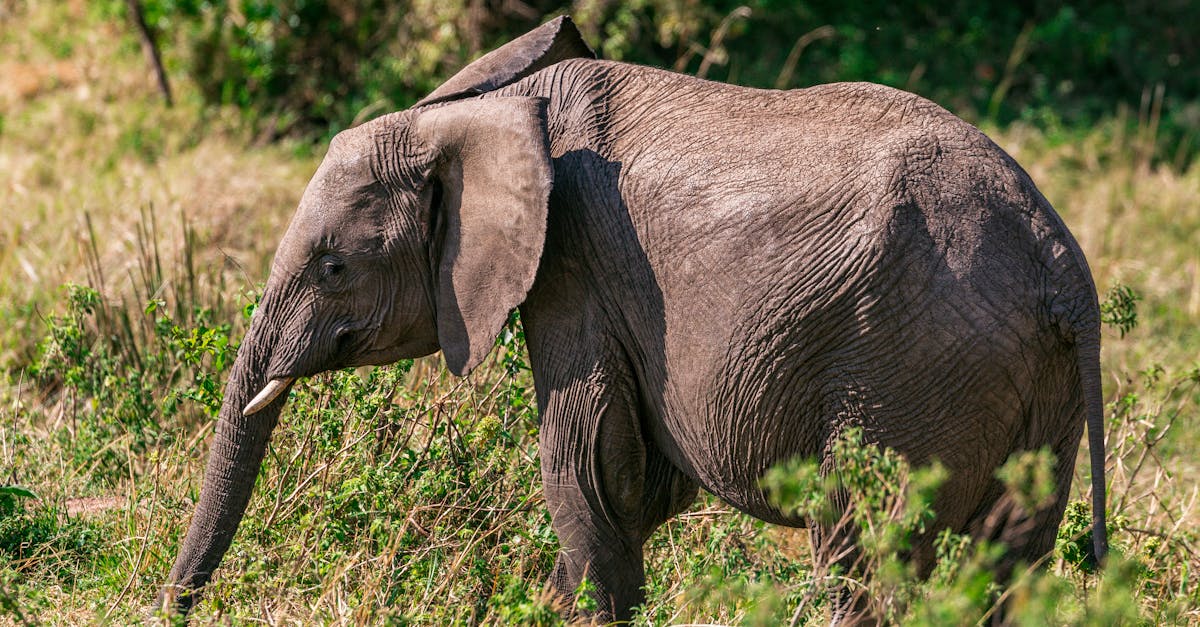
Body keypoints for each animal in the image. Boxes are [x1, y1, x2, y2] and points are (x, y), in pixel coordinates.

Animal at [157, 16, 1107, 622]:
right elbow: (640, 481)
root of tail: (1062, 273)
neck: (488, 113)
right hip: (1027, 386)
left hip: (910, 372)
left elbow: (589, 464)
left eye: (334, 267)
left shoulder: (573, 270)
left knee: (862, 550)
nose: (174, 606)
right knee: (1005, 563)